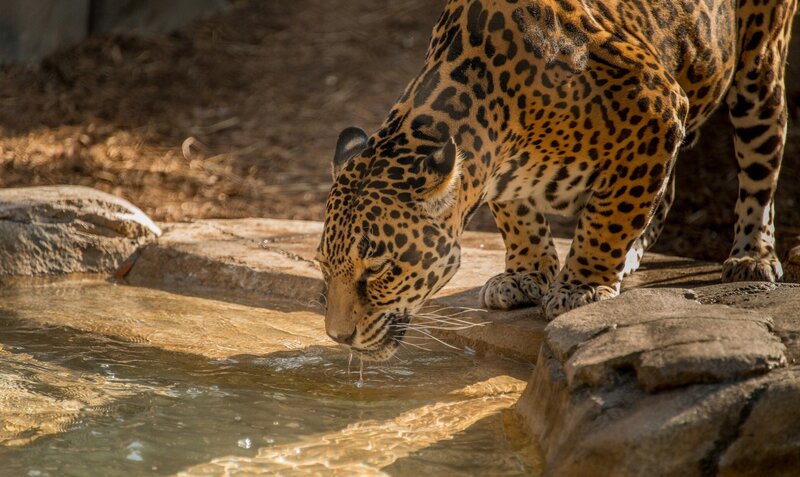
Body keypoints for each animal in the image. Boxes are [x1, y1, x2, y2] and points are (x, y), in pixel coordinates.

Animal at [316, 0, 797, 361]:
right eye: (324, 266)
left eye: (379, 268)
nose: (338, 337)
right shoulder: (498, 169)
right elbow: (518, 215)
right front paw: (526, 275)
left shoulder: (657, 107)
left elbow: (611, 215)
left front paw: (582, 287)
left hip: (760, 70)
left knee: (759, 167)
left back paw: (752, 255)